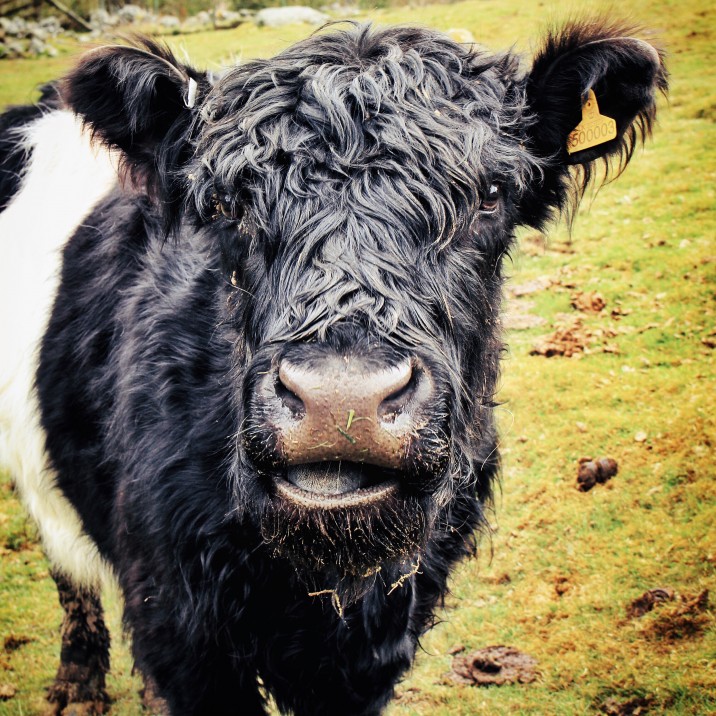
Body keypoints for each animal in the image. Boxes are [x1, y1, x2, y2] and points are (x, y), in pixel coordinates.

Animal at [0, 20, 666, 716]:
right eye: (227, 204)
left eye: (490, 195)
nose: (339, 401)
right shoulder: (178, 625)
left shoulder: (381, 637)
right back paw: (77, 685)